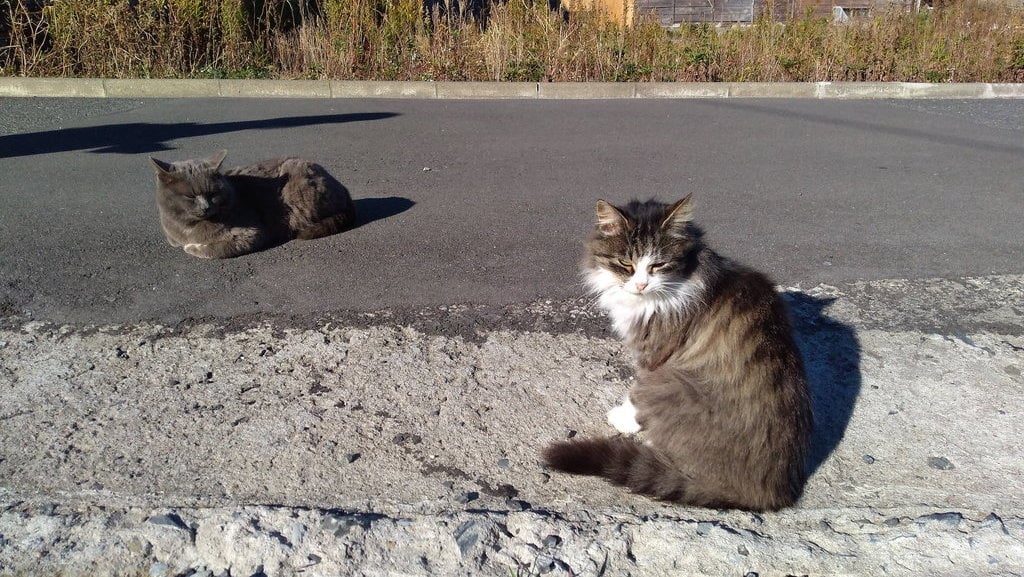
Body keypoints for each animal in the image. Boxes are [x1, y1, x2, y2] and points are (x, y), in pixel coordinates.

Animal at [149, 150, 358, 258]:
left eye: (212, 193)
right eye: (190, 196)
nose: (205, 207)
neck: (187, 226)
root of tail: (345, 190)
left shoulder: (251, 233)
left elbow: (215, 249)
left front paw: (193, 247)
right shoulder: (172, 237)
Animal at [544, 196, 815, 512]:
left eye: (658, 265)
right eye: (626, 263)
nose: (641, 285)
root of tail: (771, 494)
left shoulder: (654, 356)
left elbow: (636, 392)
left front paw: (625, 418)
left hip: (674, 381)